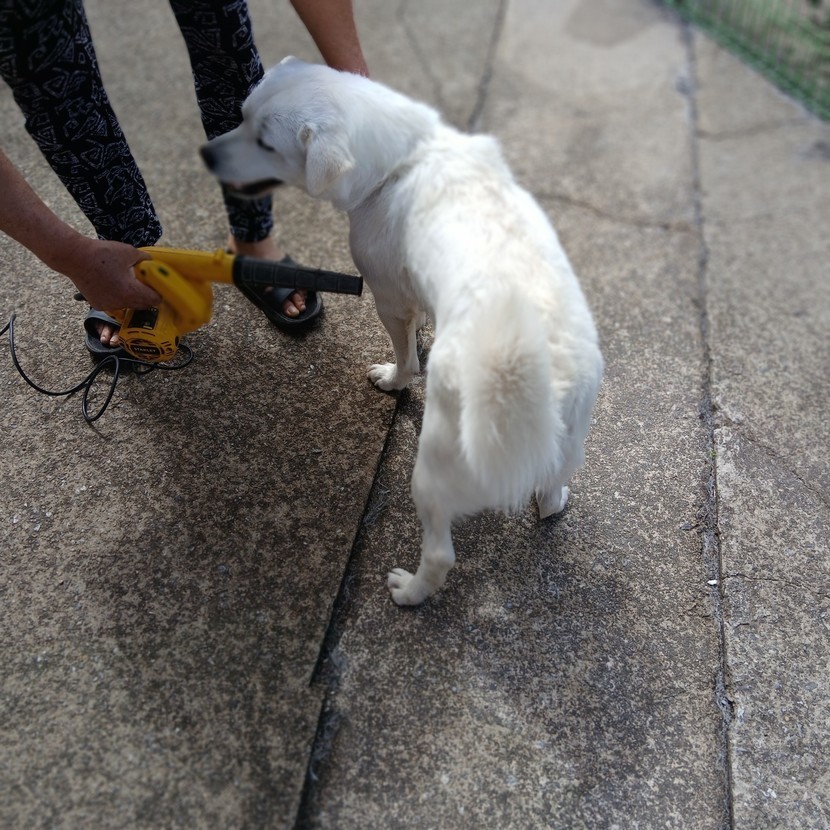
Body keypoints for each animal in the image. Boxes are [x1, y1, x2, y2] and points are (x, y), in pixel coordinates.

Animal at [201, 57, 603, 606]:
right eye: (241, 117)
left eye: (266, 144)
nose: (204, 153)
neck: (406, 154)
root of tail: (540, 374)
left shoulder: (389, 299)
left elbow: (408, 358)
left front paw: (393, 379)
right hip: (567, 448)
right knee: (552, 493)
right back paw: (552, 501)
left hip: (430, 473)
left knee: (439, 555)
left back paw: (409, 592)